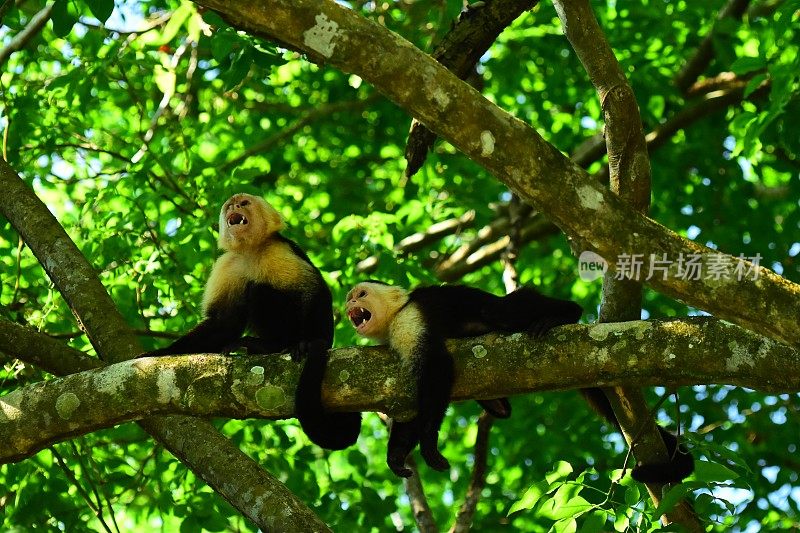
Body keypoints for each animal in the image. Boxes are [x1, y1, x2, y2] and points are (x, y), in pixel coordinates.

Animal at [145, 191, 360, 448]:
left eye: (244, 203)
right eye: (230, 206)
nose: (235, 207)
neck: (251, 250)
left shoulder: (279, 250)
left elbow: (314, 290)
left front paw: (309, 342)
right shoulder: (226, 264)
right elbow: (222, 323)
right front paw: (157, 354)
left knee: (260, 289)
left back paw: (276, 344)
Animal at [344, 280, 580, 476]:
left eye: (362, 294)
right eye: (350, 298)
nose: (351, 302)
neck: (396, 314)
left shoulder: (408, 320)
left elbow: (437, 366)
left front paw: (428, 444)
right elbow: (412, 408)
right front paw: (396, 457)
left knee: (501, 310)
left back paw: (565, 314)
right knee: (502, 410)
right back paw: (497, 404)